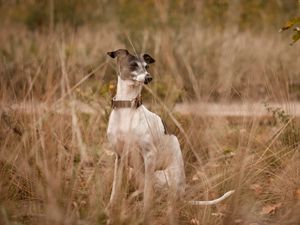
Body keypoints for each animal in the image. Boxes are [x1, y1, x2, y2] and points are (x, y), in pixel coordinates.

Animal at [106, 49, 234, 223]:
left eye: (146, 66)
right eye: (133, 64)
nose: (149, 77)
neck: (127, 108)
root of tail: (183, 195)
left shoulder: (149, 156)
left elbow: (148, 195)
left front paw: (145, 215)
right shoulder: (120, 157)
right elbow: (115, 188)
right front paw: (111, 209)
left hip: (159, 176)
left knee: (161, 197)